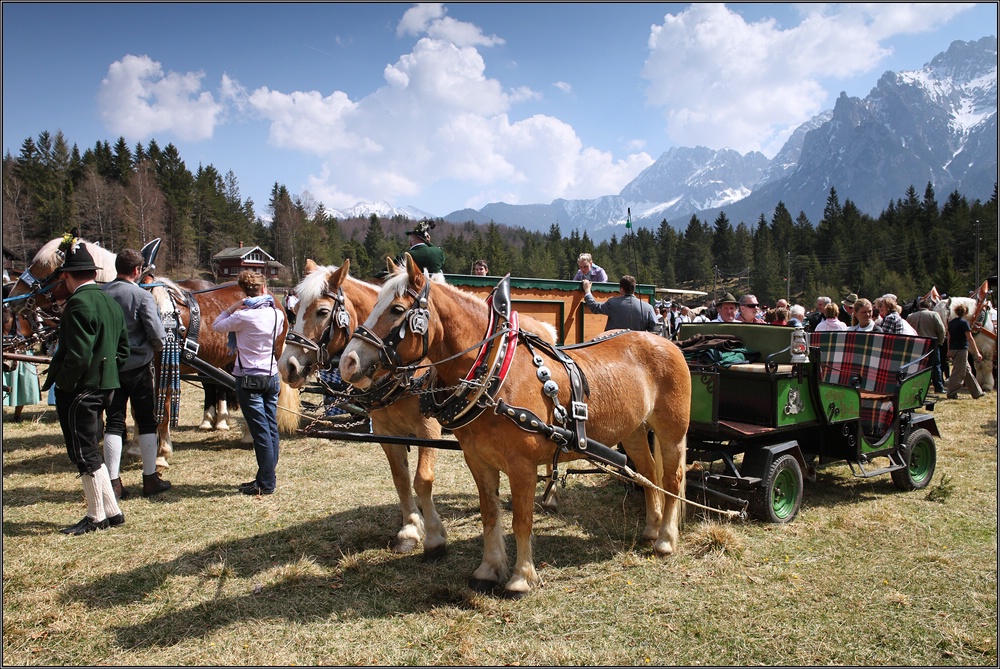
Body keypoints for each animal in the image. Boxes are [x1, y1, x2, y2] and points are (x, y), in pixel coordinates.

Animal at [340, 256, 692, 596]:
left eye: (397, 310)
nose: (347, 362)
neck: (495, 373)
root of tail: (664, 341)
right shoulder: (478, 460)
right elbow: (490, 514)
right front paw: (488, 569)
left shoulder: (522, 466)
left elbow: (522, 520)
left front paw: (521, 578)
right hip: (633, 431)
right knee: (648, 474)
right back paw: (651, 529)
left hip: (672, 431)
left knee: (672, 479)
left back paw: (665, 540)